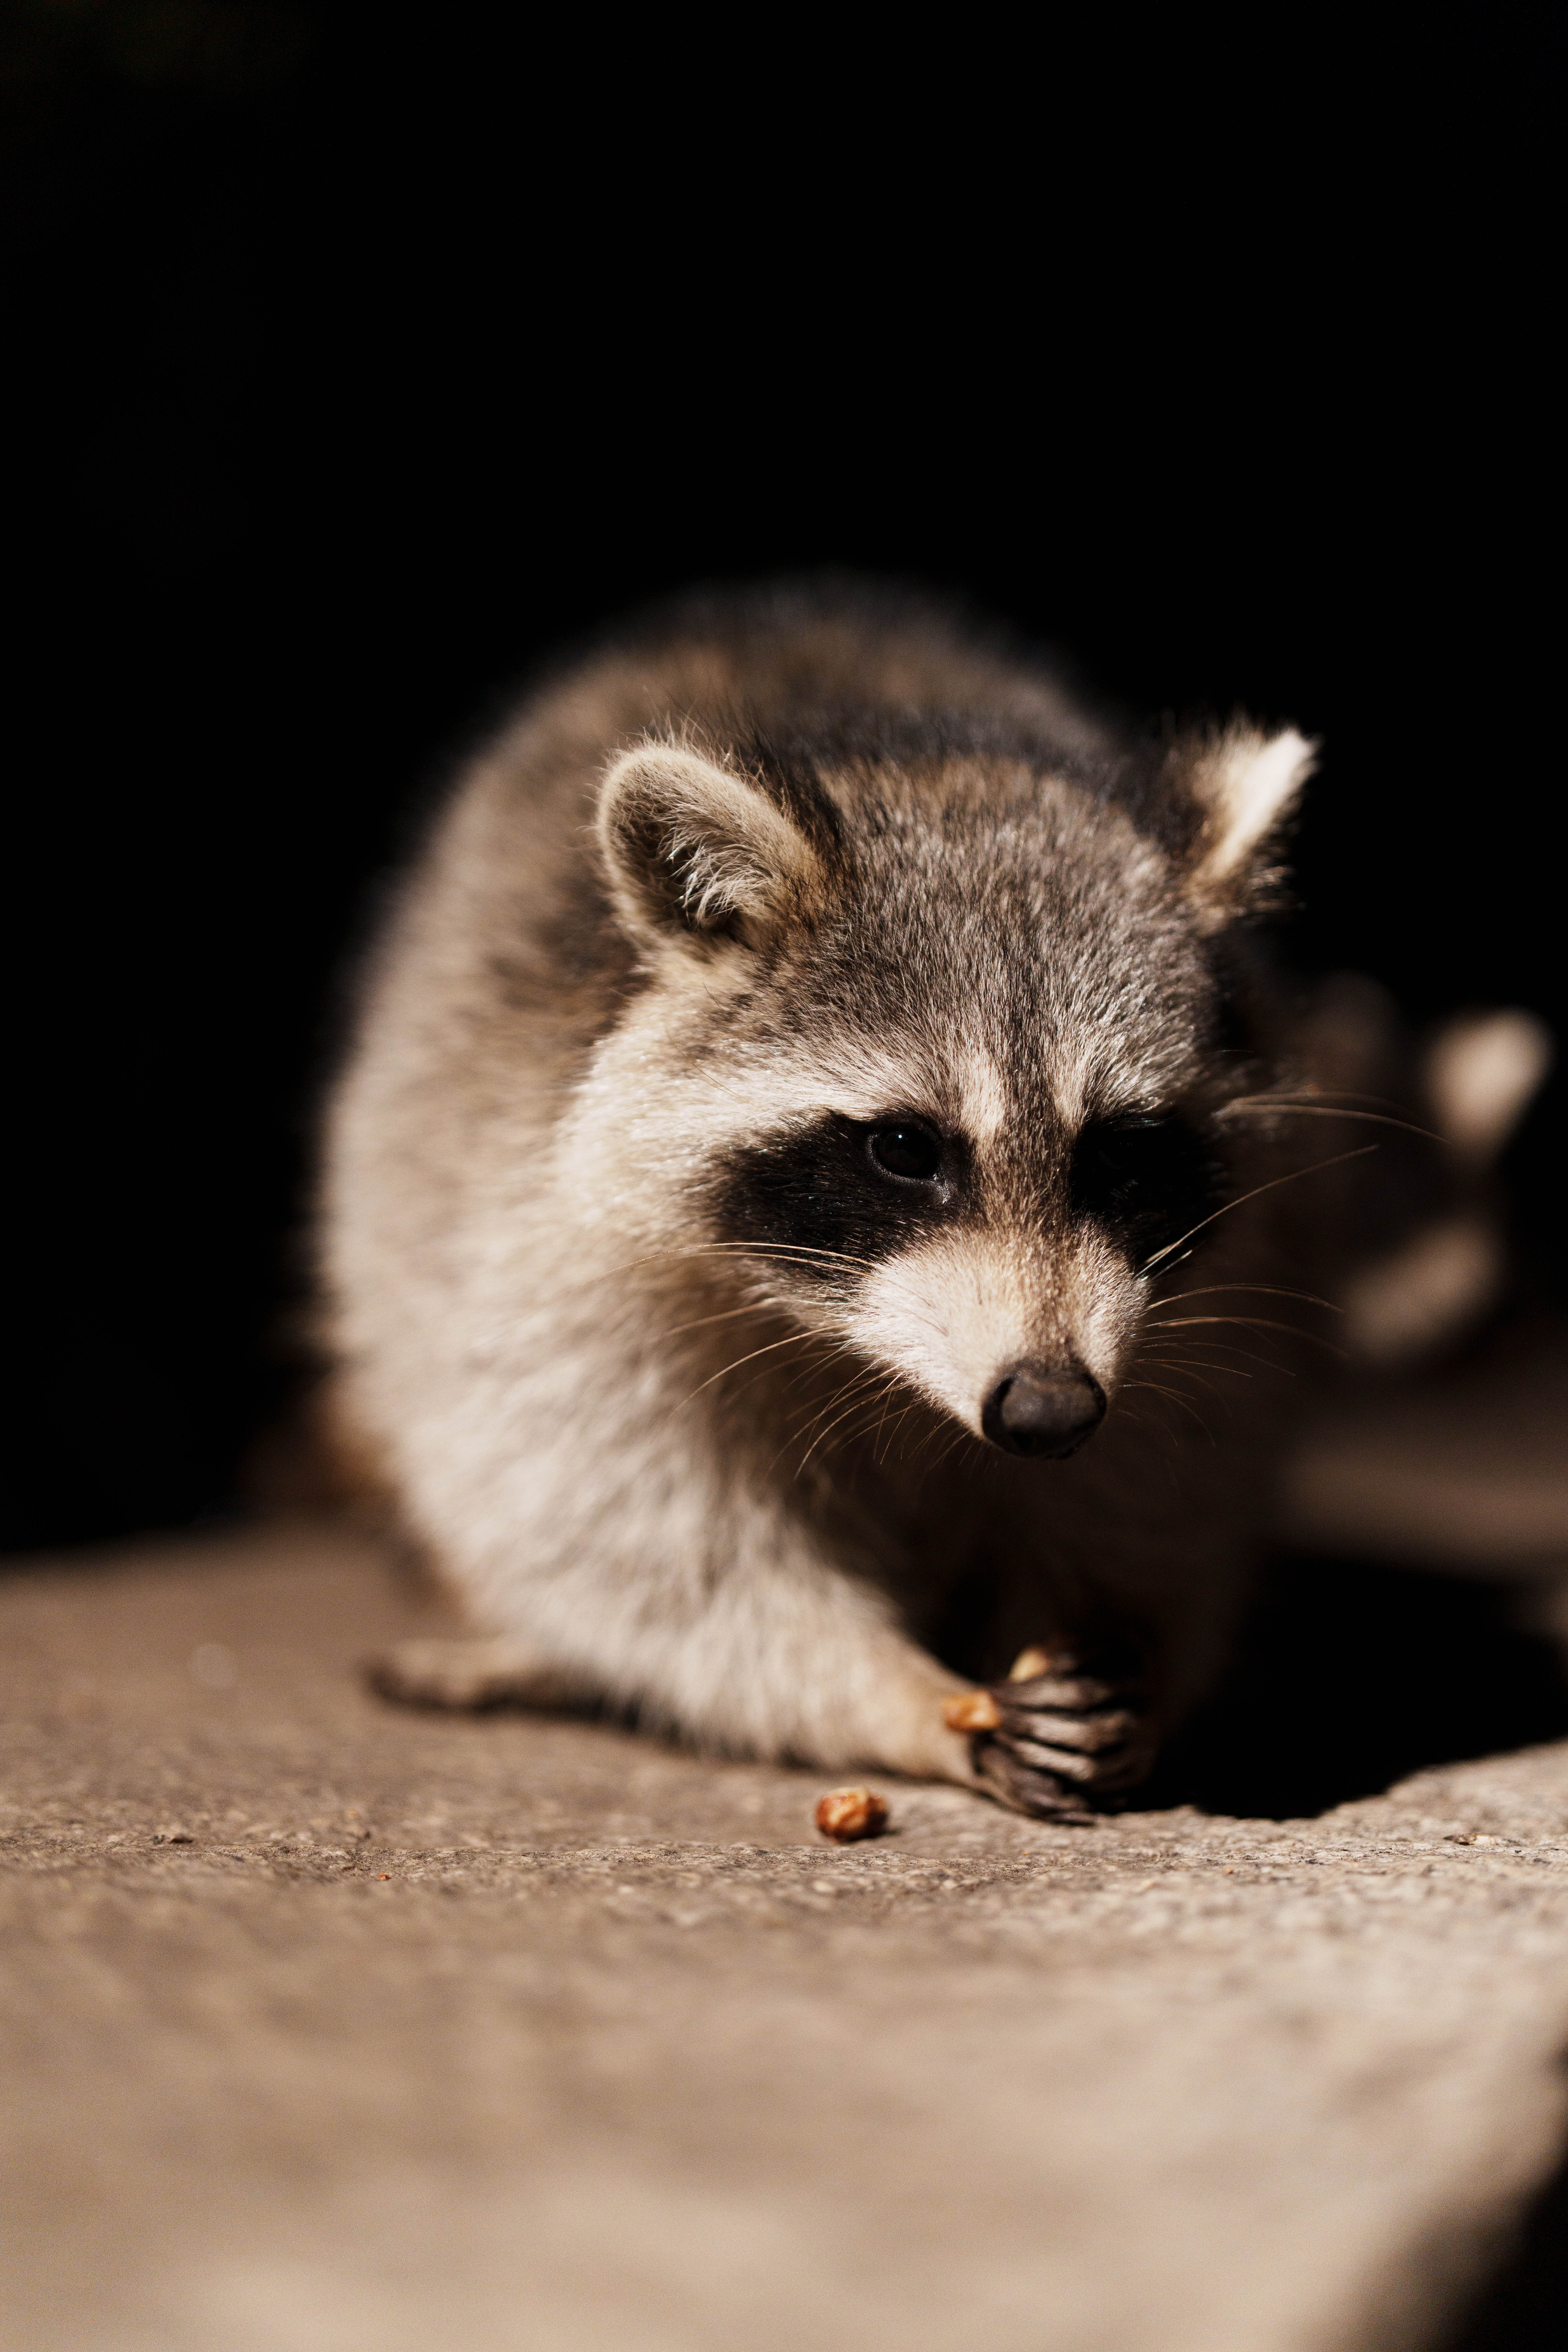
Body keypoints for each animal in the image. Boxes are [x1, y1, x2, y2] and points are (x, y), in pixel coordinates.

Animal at [320, 584, 1511, 1815]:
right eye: (905, 1149)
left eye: (1123, 1153)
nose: (1048, 1410)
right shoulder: (534, 1236)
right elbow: (630, 1542)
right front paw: (903, 1696)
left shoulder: (1237, 1284)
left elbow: (1164, 1489)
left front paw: (1123, 1648)